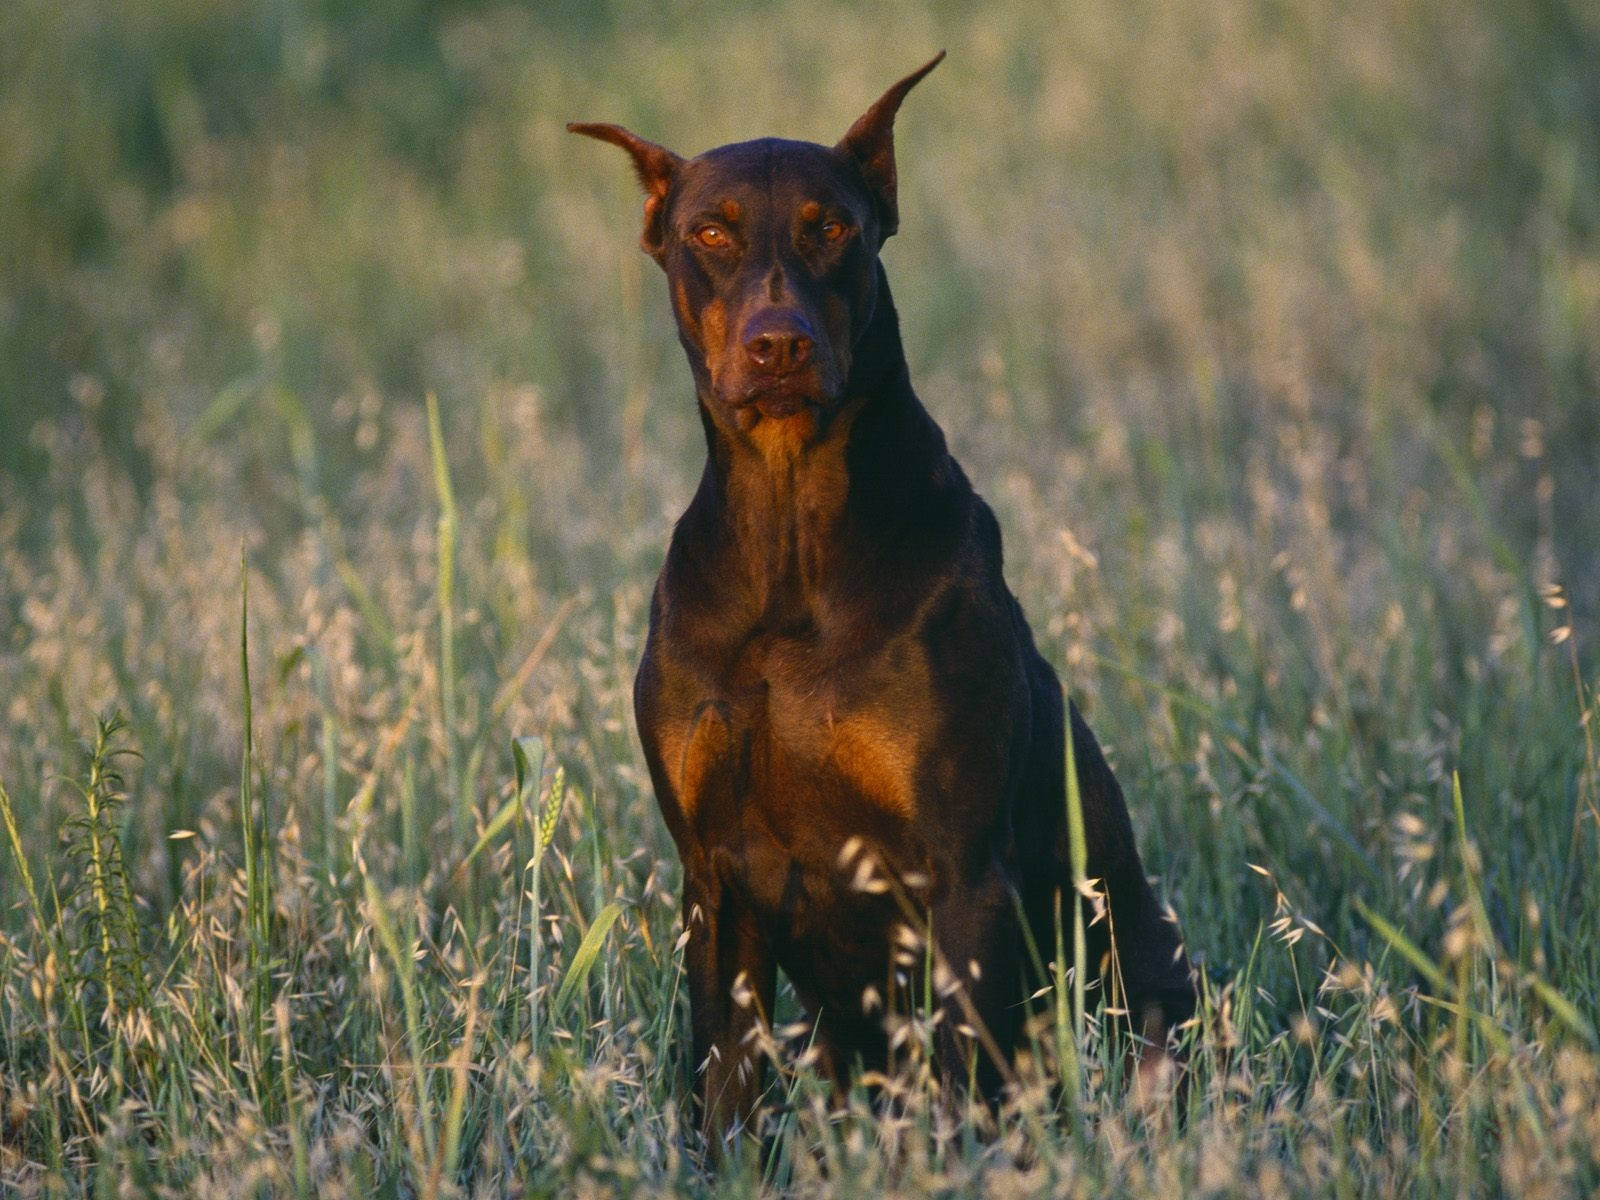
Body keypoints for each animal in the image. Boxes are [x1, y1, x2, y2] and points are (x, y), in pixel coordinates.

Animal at [572, 54, 1190, 1145]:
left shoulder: (961, 873)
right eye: (710, 234)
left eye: (834, 228)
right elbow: (722, 1085)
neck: (788, 553)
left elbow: (969, 1087)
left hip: (1150, 974)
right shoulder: (712, 879)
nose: (778, 346)